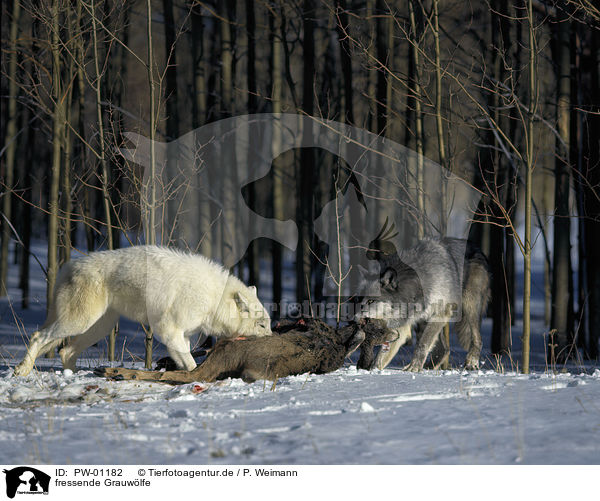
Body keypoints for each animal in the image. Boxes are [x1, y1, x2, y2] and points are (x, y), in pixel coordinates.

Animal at [14, 246, 272, 376]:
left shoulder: (183, 335)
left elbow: (183, 358)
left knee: (65, 351)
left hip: (99, 327)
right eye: (262, 325)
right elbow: (191, 364)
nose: (273, 337)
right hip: (80, 322)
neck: (214, 298)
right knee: (38, 336)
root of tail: (69, 266)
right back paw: (23, 370)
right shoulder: (168, 331)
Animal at [356, 238, 488, 372]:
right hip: (425, 321)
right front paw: (374, 370)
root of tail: (477, 248)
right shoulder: (402, 323)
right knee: (444, 349)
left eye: (370, 301)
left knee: (478, 339)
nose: (355, 319)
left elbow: (422, 343)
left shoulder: (441, 313)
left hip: (469, 306)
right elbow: (382, 354)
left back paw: (471, 363)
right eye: (358, 299)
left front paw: (414, 367)